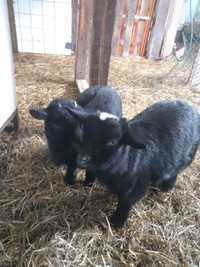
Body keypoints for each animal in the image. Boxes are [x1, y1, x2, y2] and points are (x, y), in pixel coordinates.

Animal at [63, 100, 200, 228]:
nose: (81, 159)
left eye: (112, 142)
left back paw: (167, 187)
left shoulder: (137, 184)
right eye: (85, 133)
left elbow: (126, 202)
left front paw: (117, 222)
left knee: (174, 171)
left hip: (186, 157)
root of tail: (190, 106)